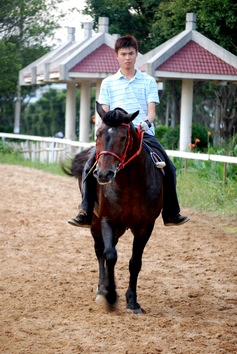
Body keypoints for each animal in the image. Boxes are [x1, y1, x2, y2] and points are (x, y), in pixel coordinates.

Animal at [65, 103, 164, 314]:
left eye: (123, 137)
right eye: (98, 134)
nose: (104, 174)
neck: (129, 185)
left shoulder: (145, 226)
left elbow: (135, 262)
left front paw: (132, 302)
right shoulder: (107, 220)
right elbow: (109, 255)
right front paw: (109, 295)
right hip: (95, 223)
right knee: (100, 251)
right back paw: (101, 290)